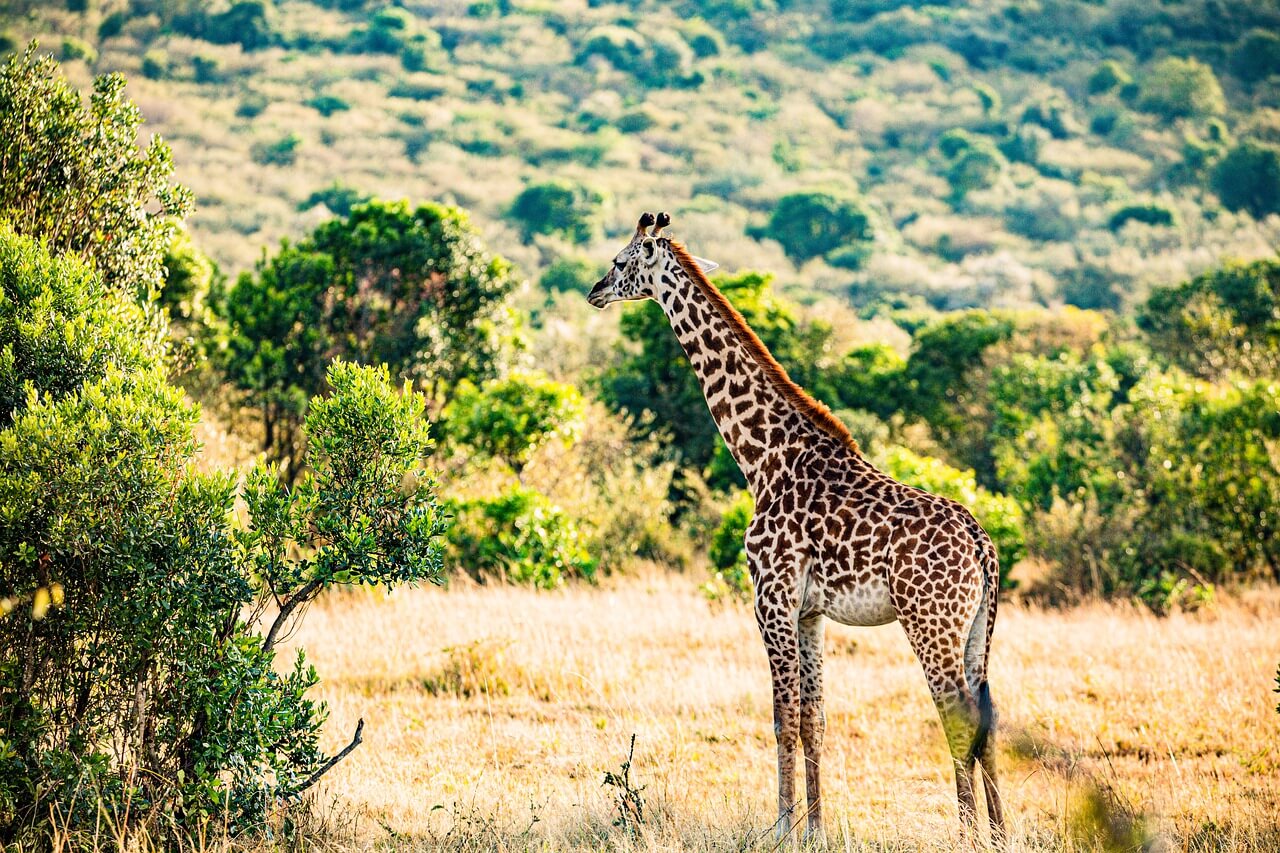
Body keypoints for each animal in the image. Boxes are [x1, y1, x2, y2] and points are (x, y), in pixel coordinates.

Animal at [586, 208, 1003, 840]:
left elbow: (782, 716)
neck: (763, 458)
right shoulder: (810, 613)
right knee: (988, 720)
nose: (594, 291)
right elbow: (815, 720)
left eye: (619, 261)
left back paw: (968, 835)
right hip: (977, 626)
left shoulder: (772, 599)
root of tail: (982, 545)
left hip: (930, 621)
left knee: (957, 717)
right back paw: (1002, 832)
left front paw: (781, 827)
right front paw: (815, 828)